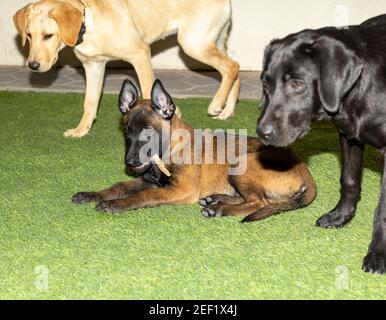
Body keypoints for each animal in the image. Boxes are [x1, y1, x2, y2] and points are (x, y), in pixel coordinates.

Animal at [13, 0, 240, 136]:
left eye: (48, 35)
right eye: (29, 35)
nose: (33, 65)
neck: (89, 24)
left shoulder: (140, 53)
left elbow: (148, 89)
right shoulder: (94, 67)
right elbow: (90, 102)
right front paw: (82, 130)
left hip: (193, 43)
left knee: (231, 67)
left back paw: (216, 104)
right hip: (213, 41)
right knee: (235, 68)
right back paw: (227, 112)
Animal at [256, 15, 386, 274]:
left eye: (297, 84)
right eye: (265, 84)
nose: (261, 132)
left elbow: (383, 210)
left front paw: (378, 254)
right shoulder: (348, 135)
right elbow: (349, 180)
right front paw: (341, 216)